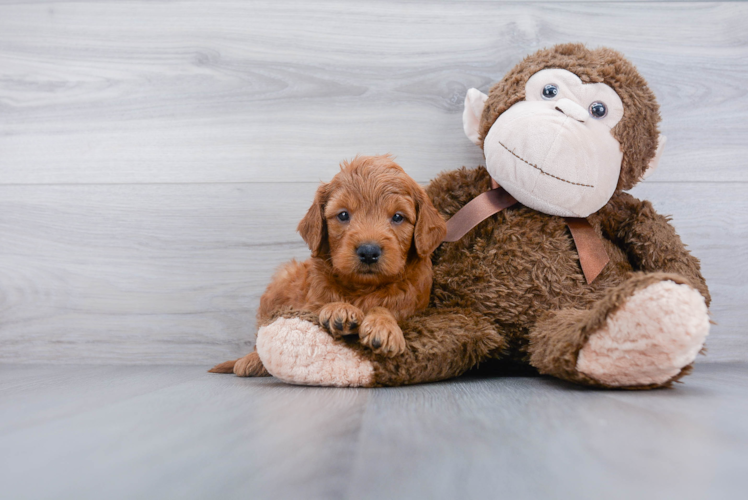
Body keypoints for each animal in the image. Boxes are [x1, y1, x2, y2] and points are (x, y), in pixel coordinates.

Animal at [207, 154, 448, 376]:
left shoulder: (413, 304)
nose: (368, 252)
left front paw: (384, 326)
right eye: (343, 215)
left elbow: (389, 307)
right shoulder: (309, 302)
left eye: (398, 217)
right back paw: (250, 360)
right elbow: (322, 304)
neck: (363, 288)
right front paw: (339, 310)